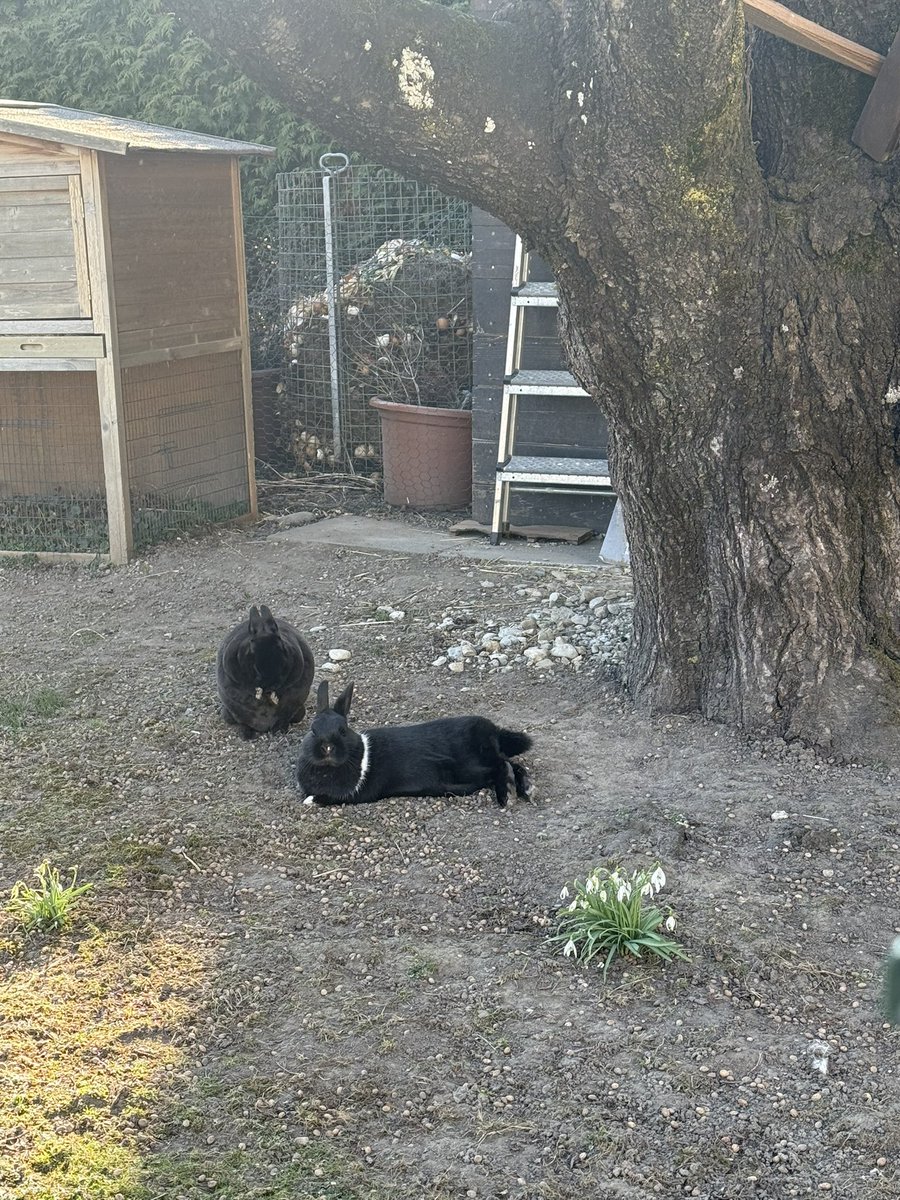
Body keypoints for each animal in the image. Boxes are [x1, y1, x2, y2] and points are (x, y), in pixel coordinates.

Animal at [217, 604, 315, 738]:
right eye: (251, 648)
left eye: (283, 646)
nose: (271, 684)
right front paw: (259, 695)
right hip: (229, 715)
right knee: (242, 722)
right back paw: (247, 735)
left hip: (299, 713)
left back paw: (278, 730)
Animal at [296, 680, 534, 808]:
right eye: (313, 730)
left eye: (343, 731)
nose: (326, 748)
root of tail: (491, 730)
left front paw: (310, 800)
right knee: (514, 765)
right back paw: (526, 790)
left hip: (468, 767)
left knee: (503, 766)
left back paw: (507, 796)